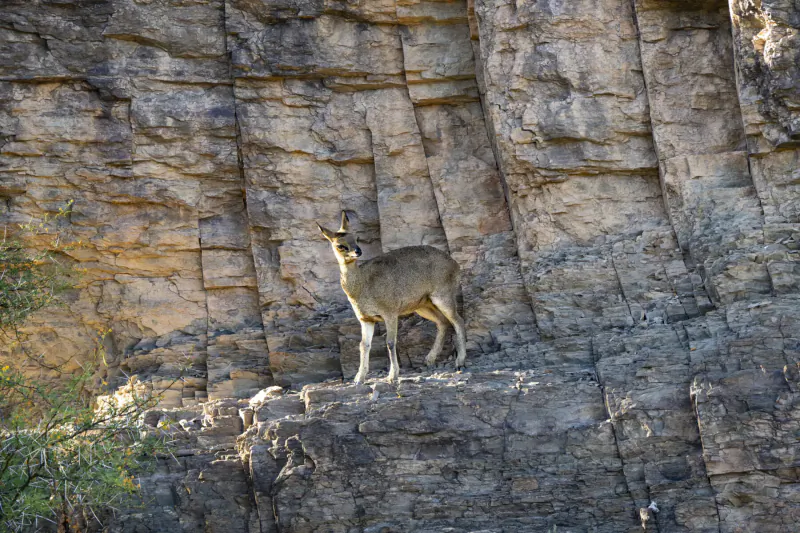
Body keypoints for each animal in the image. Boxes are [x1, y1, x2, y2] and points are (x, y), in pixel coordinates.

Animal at [318, 211, 467, 383]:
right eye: (340, 245)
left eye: (356, 238)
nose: (357, 251)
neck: (362, 285)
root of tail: (455, 264)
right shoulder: (366, 319)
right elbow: (364, 345)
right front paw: (359, 378)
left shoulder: (390, 313)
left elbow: (390, 342)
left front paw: (392, 375)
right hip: (423, 306)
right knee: (443, 322)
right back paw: (429, 359)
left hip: (443, 297)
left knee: (458, 321)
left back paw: (460, 362)